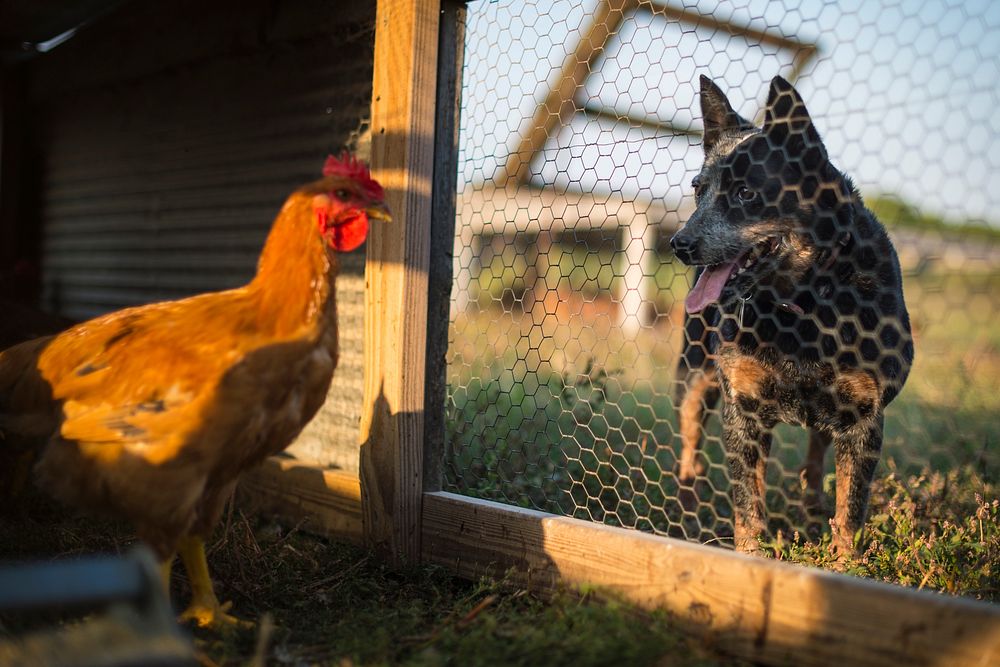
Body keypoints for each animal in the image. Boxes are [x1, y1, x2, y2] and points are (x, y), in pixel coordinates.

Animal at [672, 75, 916, 560]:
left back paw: (813, 504)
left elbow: (851, 508)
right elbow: (748, 506)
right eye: (698, 189)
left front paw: (845, 564)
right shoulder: (742, 410)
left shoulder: (864, 417)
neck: (800, 304)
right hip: (694, 374)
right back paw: (689, 509)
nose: (679, 244)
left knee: (816, 455)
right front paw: (749, 560)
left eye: (746, 193)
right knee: (690, 447)